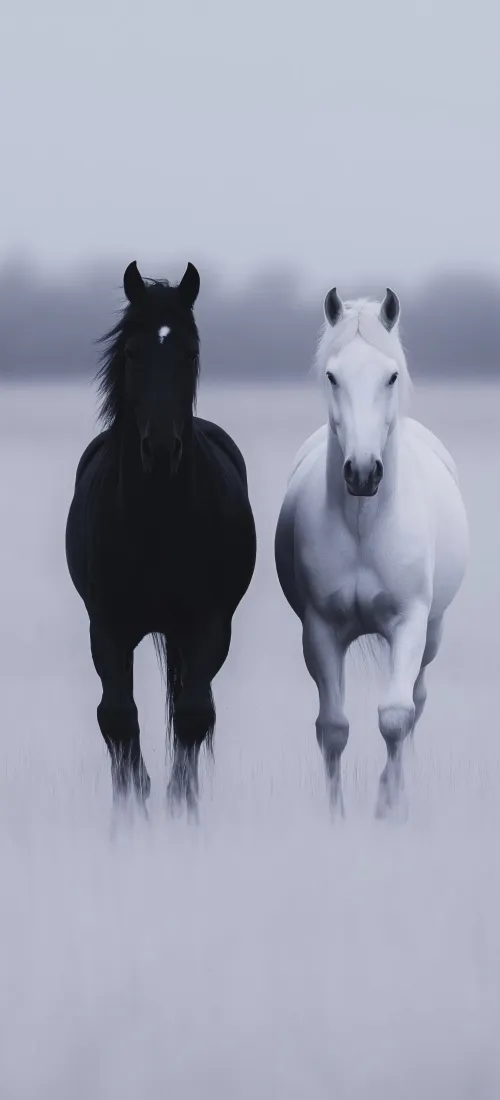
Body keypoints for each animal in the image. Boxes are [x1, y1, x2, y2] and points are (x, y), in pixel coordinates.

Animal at [66, 260, 256, 816]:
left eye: (190, 352)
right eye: (132, 352)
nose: (161, 447)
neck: (156, 519)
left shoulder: (208, 625)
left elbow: (193, 715)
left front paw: (181, 806)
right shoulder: (106, 627)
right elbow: (117, 716)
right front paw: (131, 805)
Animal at [275, 287, 469, 818]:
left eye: (391, 375)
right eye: (332, 376)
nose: (363, 472)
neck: (365, 527)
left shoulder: (409, 622)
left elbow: (396, 717)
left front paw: (387, 806)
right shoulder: (320, 629)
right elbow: (333, 728)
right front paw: (336, 818)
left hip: (433, 634)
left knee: (416, 702)